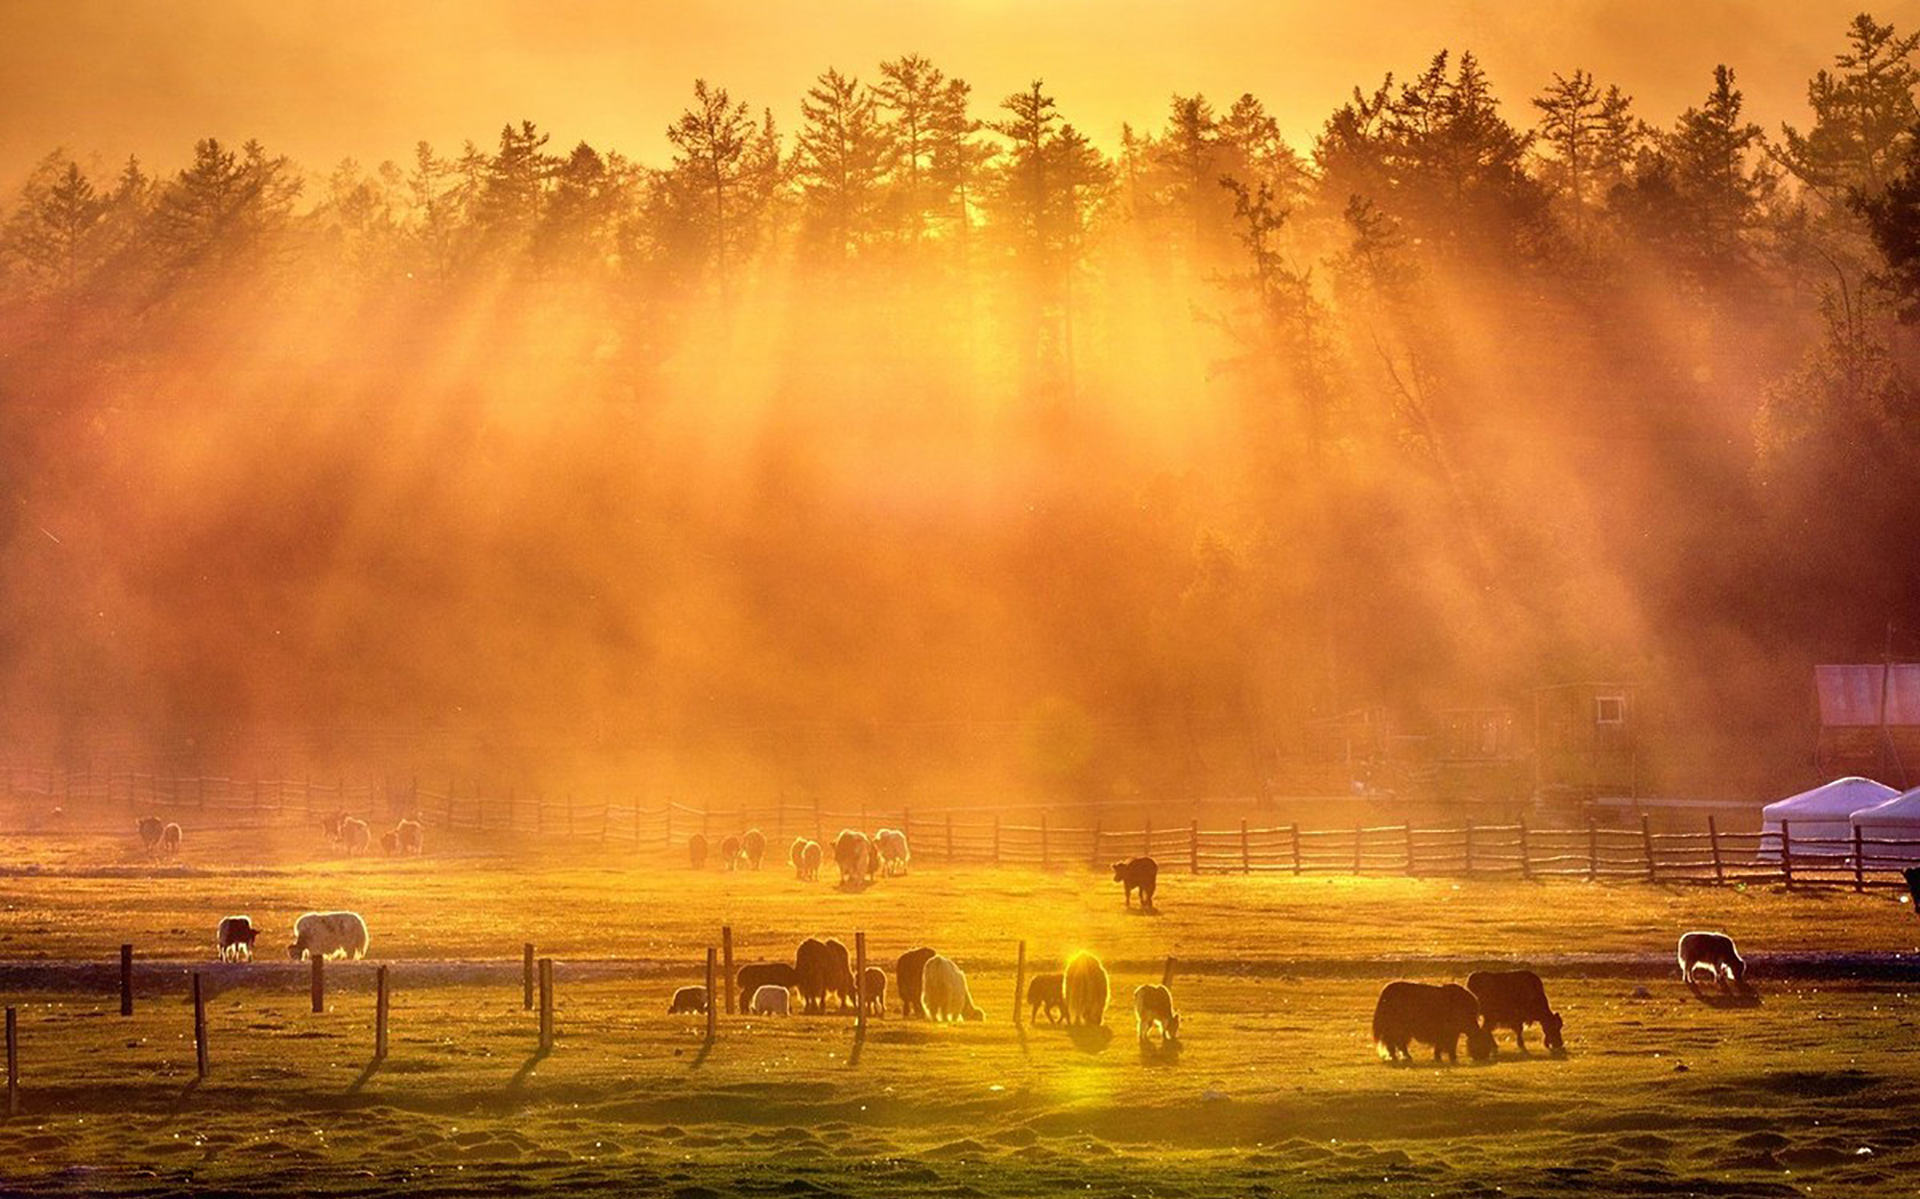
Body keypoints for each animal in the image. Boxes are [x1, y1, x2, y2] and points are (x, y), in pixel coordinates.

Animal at [1367, 979, 1497, 1060]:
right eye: (1483, 1041)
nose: (1483, 1057)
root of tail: (1386, 993)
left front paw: (1438, 1057)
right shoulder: (1451, 1032)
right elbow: (1450, 1045)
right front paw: (1452, 1057)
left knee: (1398, 1043)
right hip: (1396, 1028)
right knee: (1393, 1042)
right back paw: (1399, 1057)